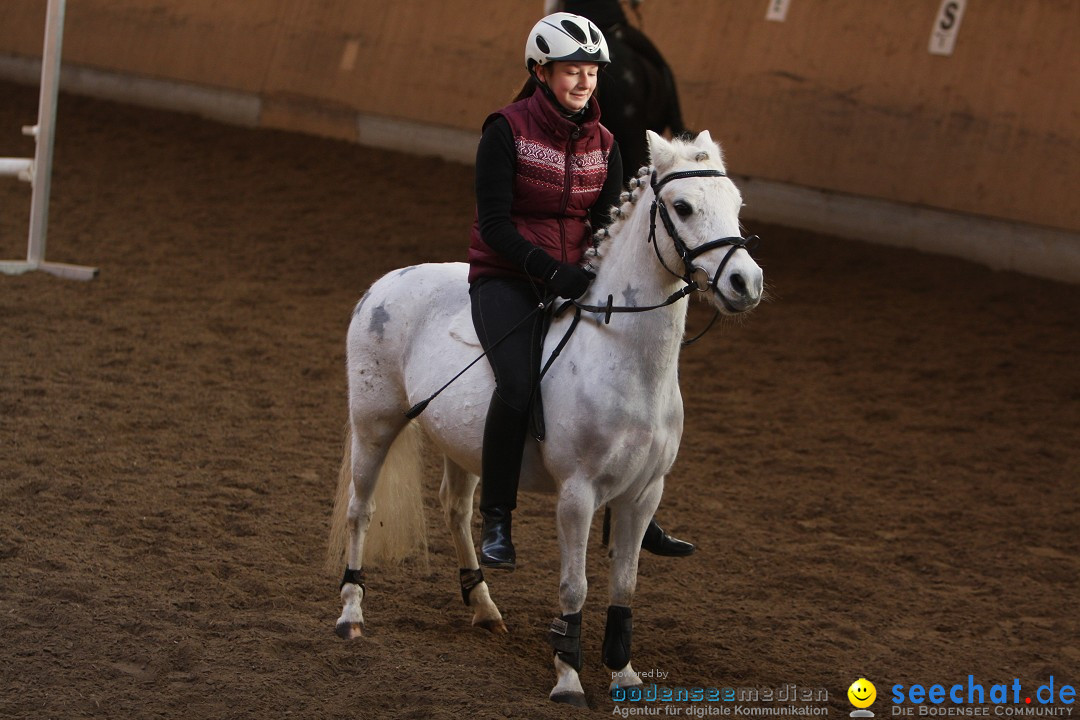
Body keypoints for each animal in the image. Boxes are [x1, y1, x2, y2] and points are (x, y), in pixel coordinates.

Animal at [326, 131, 760, 708]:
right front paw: (569, 679)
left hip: (463, 443)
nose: (746, 281)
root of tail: (384, 283)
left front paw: (623, 674)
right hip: (374, 424)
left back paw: (484, 606)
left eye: (735, 203)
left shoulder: (644, 493)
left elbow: (625, 583)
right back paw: (351, 613)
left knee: (456, 510)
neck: (624, 356)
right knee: (360, 510)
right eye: (684, 207)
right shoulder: (577, 494)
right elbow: (574, 585)